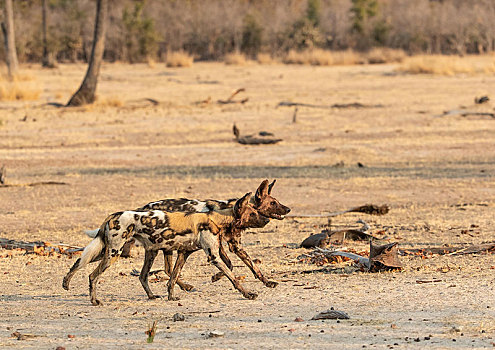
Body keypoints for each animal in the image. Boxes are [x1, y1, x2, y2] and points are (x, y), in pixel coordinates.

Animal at [65, 193, 272, 304]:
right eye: (253, 213)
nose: (267, 219)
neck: (216, 218)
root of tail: (113, 215)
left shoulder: (183, 254)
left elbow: (172, 278)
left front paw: (171, 297)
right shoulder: (213, 257)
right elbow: (233, 277)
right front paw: (248, 294)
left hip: (116, 251)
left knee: (80, 261)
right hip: (113, 253)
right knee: (92, 275)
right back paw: (94, 301)